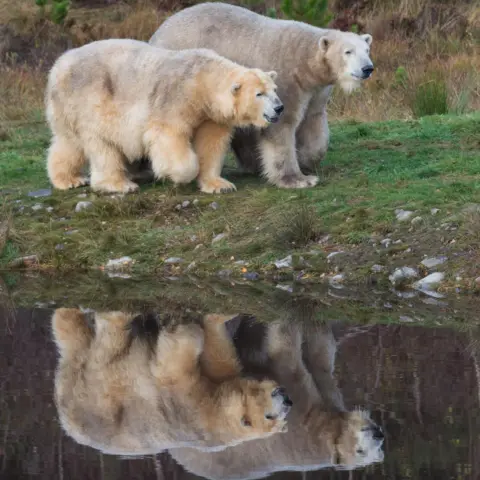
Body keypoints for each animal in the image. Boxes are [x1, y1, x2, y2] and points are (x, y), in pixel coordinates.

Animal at [44, 38, 282, 194]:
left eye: (274, 89)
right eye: (259, 94)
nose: (279, 108)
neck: (201, 80)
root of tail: (57, 68)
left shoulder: (210, 116)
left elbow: (211, 143)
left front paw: (219, 185)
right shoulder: (176, 99)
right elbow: (168, 137)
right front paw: (176, 175)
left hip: (66, 109)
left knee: (68, 142)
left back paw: (69, 179)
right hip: (91, 100)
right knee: (102, 143)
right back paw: (120, 184)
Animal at [51, 310, 292, 456]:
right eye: (270, 416)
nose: (288, 400)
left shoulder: (188, 406)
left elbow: (172, 369)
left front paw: (183, 329)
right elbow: (218, 356)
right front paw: (217, 317)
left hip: (99, 393)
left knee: (109, 345)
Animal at [150, 2, 376, 189]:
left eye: (366, 49)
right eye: (348, 51)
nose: (367, 68)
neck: (304, 61)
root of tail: (157, 32)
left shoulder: (316, 90)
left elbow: (314, 121)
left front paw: (306, 159)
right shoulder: (285, 80)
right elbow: (281, 125)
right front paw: (297, 179)